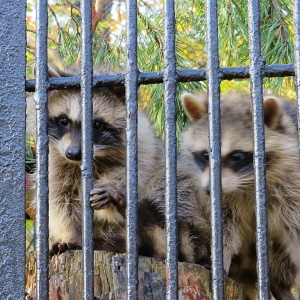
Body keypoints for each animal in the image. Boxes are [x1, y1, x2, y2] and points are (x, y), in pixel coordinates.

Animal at [25, 65, 162, 253]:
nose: (73, 153)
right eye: (63, 121)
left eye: (96, 125)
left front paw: (111, 188)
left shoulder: (142, 145)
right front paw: (71, 234)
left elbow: (132, 173)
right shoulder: (55, 159)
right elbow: (59, 198)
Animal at [180, 92, 300, 298]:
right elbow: (224, 229)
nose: (209, 189)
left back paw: (280, 283)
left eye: (236, 156)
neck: (247, 183)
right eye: (205, 155)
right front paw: (221, 260)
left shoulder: (292, 184)